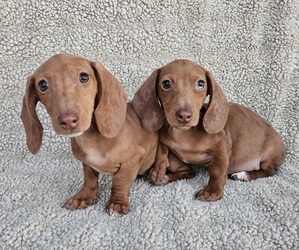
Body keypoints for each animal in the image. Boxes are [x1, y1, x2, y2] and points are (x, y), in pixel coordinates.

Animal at [20, 52, 159, 215]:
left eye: (84, 77)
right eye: (43, 85)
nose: (68, 121)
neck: (89, 138)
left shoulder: (135, 156)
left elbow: (121, 180)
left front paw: (117, 202)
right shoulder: (86, 163)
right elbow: (89, 179)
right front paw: (84, 197)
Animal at [132, 59, 288, 202]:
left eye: (201, 84)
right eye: (166, 84)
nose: (184, 116)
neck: (182, 134)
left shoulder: (221, 146)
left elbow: (217, 170)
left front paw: (212, 191)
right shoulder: (164, 139)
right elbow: (162, 150)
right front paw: (158, 171)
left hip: (269, 155)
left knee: (269, 171)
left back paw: (244, 175)